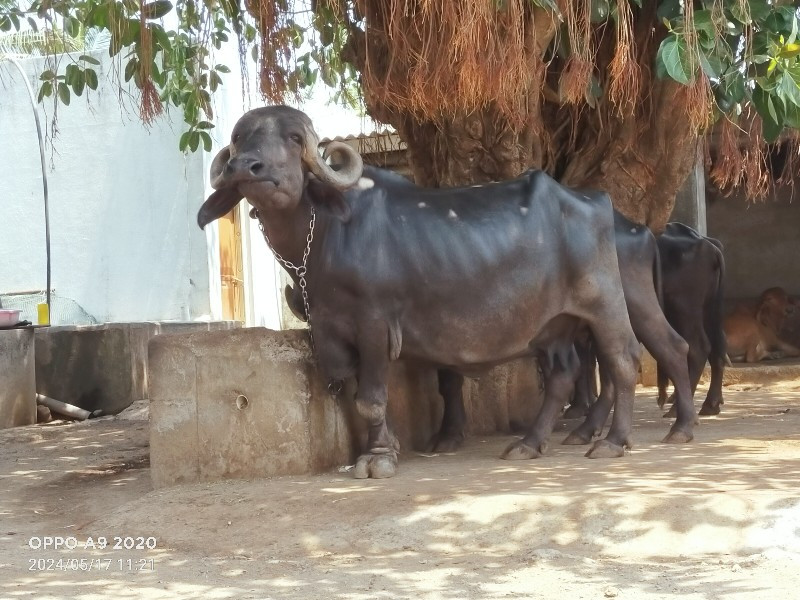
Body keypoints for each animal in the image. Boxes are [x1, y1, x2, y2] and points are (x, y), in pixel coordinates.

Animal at [200, 104, 644, 478]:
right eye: (239, 139)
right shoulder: (330, 326)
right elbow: (355, 391)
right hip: (554, 324)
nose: (246, 167)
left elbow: (371, 398)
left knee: (622, 362)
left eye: (293, 137)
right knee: (563, 374)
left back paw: (612, 442)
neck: (324, 236)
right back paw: (528, 444)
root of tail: (594, 199)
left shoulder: (374, 324)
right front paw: (386, 445)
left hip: (603, 307)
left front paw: (377, 458)